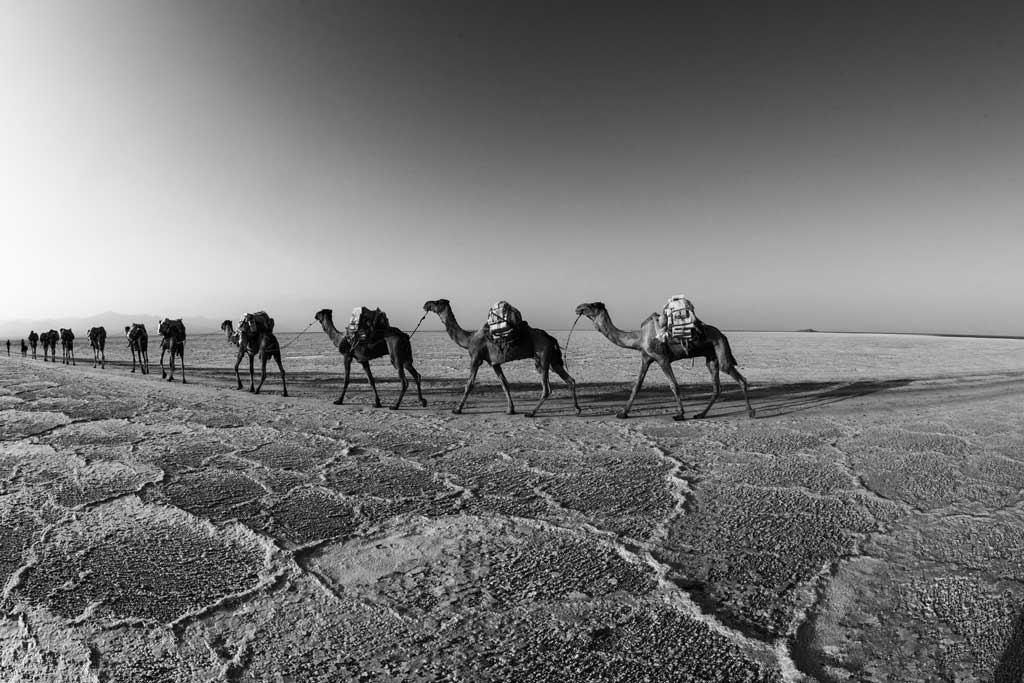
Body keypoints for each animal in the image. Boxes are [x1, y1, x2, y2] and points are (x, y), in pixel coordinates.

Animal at [417, 299, 577, 417]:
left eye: (437, 302)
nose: (426, 304)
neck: (469, 339)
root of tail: (550, 338)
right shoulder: (493, 362)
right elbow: (504, 384)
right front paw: (510, 410)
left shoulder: (476, 358)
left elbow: (469, 385)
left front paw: (457, 409)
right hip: (552, 360)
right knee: (570, 380)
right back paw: (577, 409)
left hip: (542, 357)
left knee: (547, 388)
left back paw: (531, 413)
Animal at [577, 301, 753, 419]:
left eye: (592, 305)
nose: (578, 307)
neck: (639, 337)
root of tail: (723, 335)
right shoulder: (646, 358)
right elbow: (636, 386)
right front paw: (623, 413)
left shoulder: (662, 359)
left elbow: (673, 385)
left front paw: (680, 414)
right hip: (711, 358)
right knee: (717, 387)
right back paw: (700, 414)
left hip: (721, 351)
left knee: (739, 378)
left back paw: (751, 412)